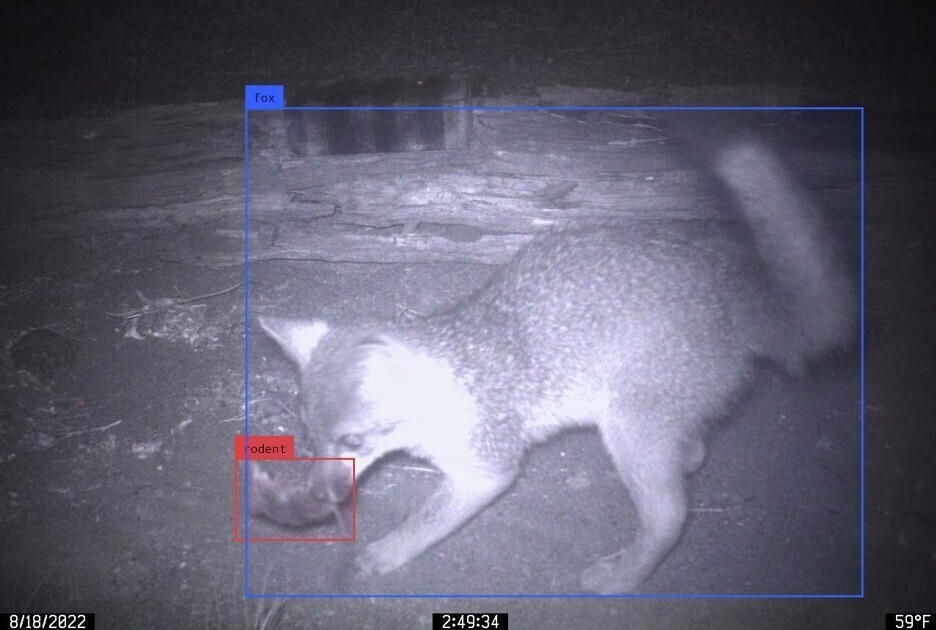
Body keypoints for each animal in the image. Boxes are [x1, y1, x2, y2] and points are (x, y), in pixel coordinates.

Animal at [254, 137, 856, 592]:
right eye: (309, 438)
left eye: (354, 442)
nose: (318, 499)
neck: (450, 380)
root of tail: (738, 294)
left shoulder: (488, 470)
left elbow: (422, 522)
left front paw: (384, 553)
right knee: (693, 453)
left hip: (630, 430)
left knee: (669, 517)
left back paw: (622, 577)